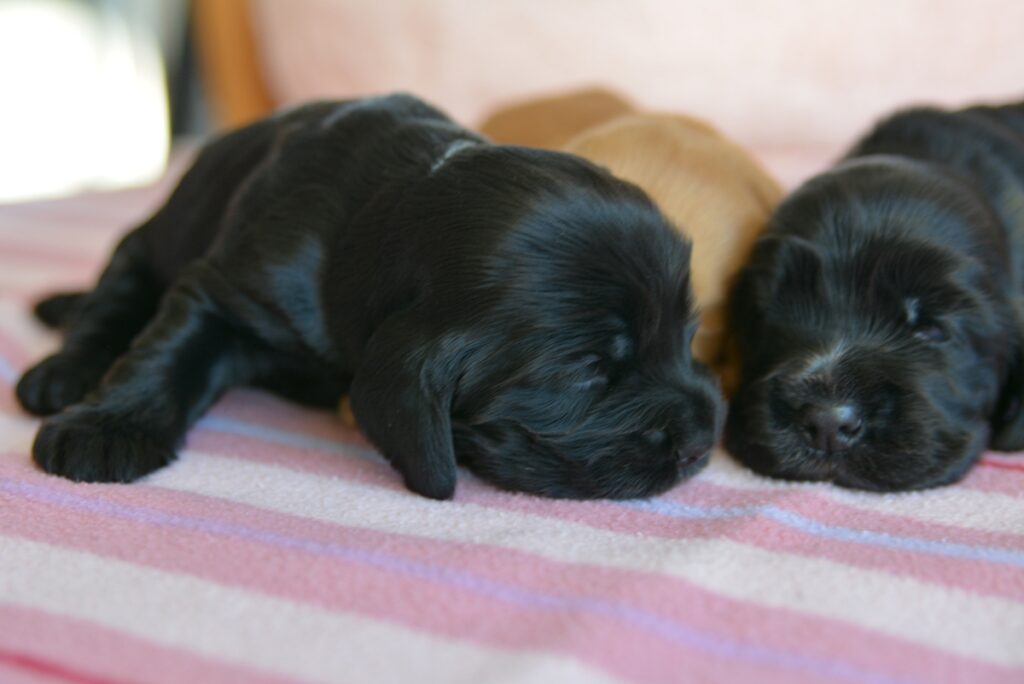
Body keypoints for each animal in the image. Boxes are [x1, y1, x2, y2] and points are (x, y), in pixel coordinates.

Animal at [15, 93, 724, 500]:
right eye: (588, 372)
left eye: (688, 336)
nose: (704, 441)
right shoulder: (229, 287)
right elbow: (168, 349)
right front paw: (108, 428)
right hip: (145, 243)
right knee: (111, 302)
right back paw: (62, 375)